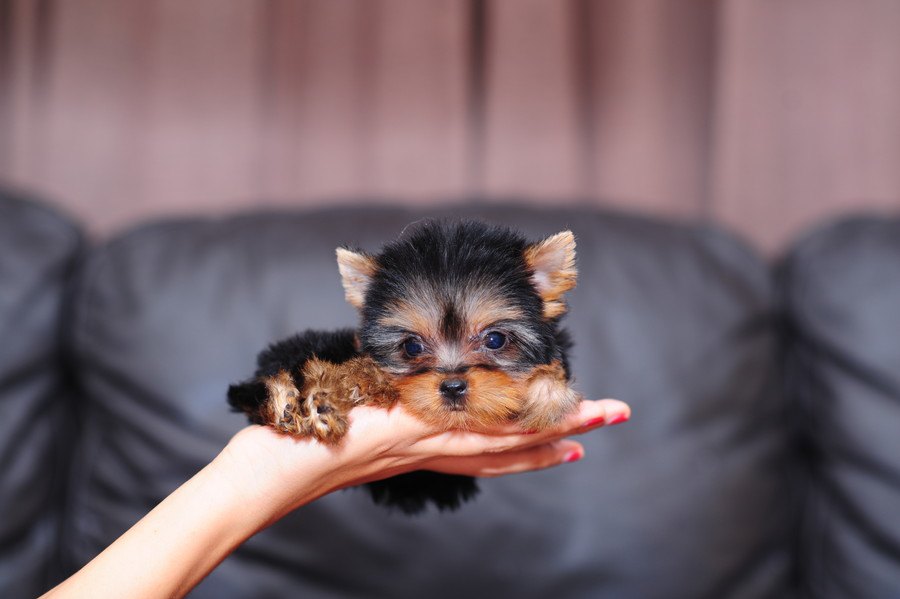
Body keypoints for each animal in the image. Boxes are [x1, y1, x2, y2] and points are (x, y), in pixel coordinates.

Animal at [229, 218, 580, 512]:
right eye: (412, 346)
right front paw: (360, 382)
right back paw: (294, 402)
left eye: (495, 340)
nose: (453, 386)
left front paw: (545, 394)